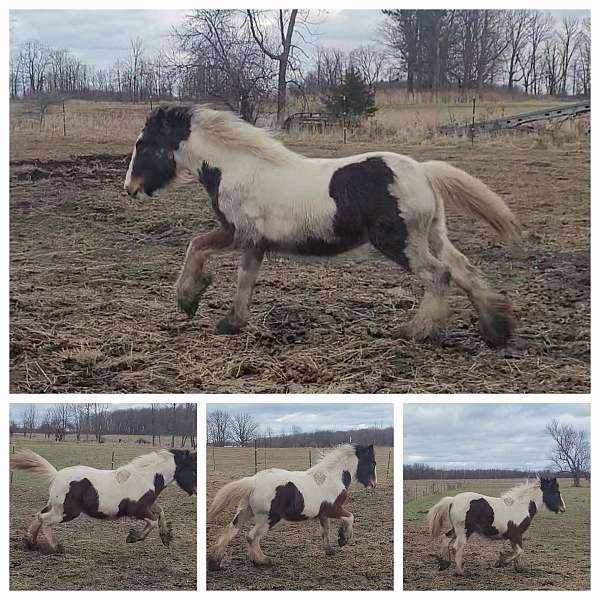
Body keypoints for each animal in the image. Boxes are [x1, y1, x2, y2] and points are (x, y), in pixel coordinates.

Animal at [9, 448, 197, 552]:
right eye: (193, 470)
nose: (196, 490)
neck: (147, 478)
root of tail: (56, 474)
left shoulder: (148, 505)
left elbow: (160, 512)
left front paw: (166, 537)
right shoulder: (137, 510)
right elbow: (152, 521)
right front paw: (133, 537)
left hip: (55, 507)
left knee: (38, 515)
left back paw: (31, 543)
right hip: (66, 512)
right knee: (43, 520)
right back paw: (56, 547)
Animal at [123, 103, 520, 346]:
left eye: (144, 145)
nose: (130, 188)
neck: (236, 169)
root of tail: (423, 171)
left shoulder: (238, 233)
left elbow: (196, 245)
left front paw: (189, 299)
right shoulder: (254, 243)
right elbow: (244, 280)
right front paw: (230, 322)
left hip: (401, 242)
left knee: (440, 276)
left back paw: (413, 331)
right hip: (433, 235)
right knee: (465, 271)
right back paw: (496, 331)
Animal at [206, 442, 376, 568]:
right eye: (373, 462)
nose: (373, 484)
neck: (331, 478)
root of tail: (253, 482)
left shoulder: (323, 514)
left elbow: (325, 531)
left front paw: (330, 550)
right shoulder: (334, 509)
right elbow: (350, 517)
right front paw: (343, 539)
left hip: (244, 512)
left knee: (229, 532)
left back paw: (214, 563)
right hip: (268, 518)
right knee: (251, 536)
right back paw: (263, 560)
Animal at [428, 478, 564, 576]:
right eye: (556, 492)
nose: (563, 508)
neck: (521, 507)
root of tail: (453, 500)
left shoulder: (514, 536)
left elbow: (518, 552)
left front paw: (519, 568)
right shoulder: (516, 535)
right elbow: (519, 551)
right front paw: (501, 562)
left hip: (457, 530)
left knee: (445, 539)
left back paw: (444, 564)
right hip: (464, 530)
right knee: (457, 547)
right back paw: (460, 572)